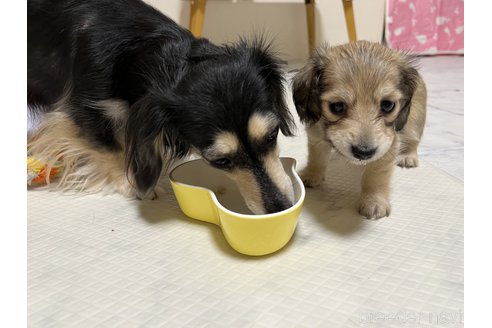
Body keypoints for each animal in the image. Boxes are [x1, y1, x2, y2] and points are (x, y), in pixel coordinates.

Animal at [27, 0, 296, 215]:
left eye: (272, 135)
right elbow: (110, 148)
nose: (281, 207)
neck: (134, 50)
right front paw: (133, 184)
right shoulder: (81, 111)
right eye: (221, 161)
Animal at [292, 41, 426, 220]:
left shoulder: (389, 144)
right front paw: (312, 174)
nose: (364, 152)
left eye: (388, 105)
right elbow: (316, 158)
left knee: (413, 141)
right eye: (337, 106)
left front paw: (374, 201)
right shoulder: (317, 135)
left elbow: (376, 175)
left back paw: (408, 157)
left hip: (413, 124)